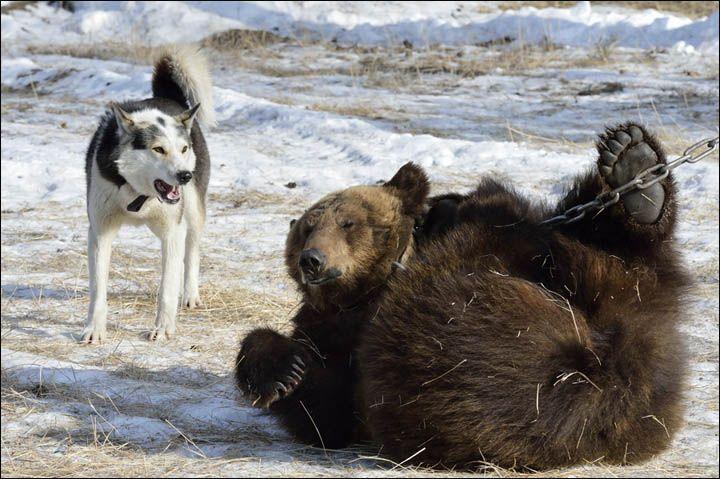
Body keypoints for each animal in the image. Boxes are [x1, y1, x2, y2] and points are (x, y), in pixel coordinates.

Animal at [82, 47, 214, 344]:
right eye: (158, 149)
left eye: (183, 148)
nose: (184, 175)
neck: (136, 193)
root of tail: (167, 97)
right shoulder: (100, 232)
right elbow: (98, 290)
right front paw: (94, 329)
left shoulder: (172, 231)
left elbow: (167, 288)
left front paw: (163, 328)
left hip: (193, 210)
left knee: (192, 250)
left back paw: (190, 294)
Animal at [235, 122, 688, 470]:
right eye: (306, 228)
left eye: (348, 223)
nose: (312, 260)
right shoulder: (334, 338)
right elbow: (321, 407)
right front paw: (284, 371)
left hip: (587, 280)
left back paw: (635, 168)